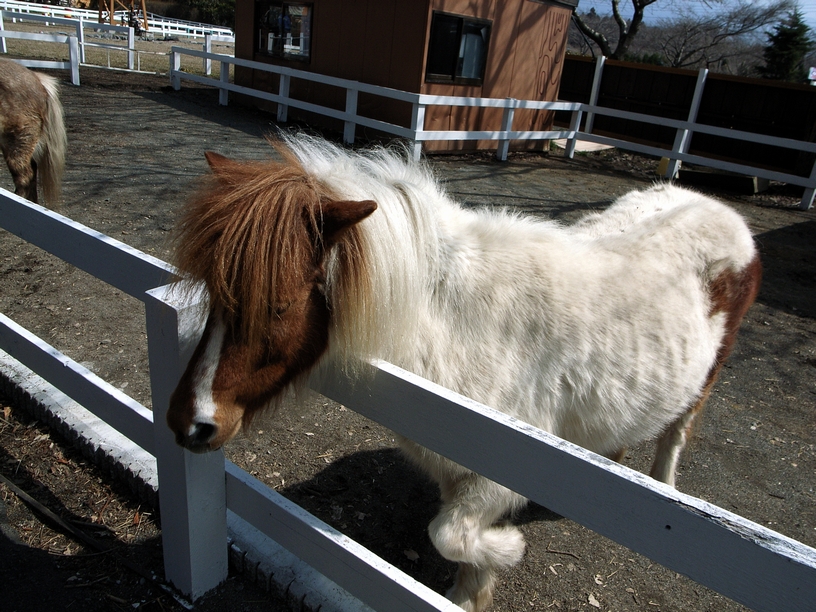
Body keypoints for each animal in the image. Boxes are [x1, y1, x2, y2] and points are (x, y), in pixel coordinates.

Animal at [166, 134, 761, 612]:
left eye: (280, 306)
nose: (189, 422)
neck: (457, 324)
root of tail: (719, 210)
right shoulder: (456, 467)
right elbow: (456, 543)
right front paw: (471, 591)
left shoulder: (493, 476)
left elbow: (448, 534)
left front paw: (507, 551)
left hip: (702, 384)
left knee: (674, 437)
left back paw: (661, 487)